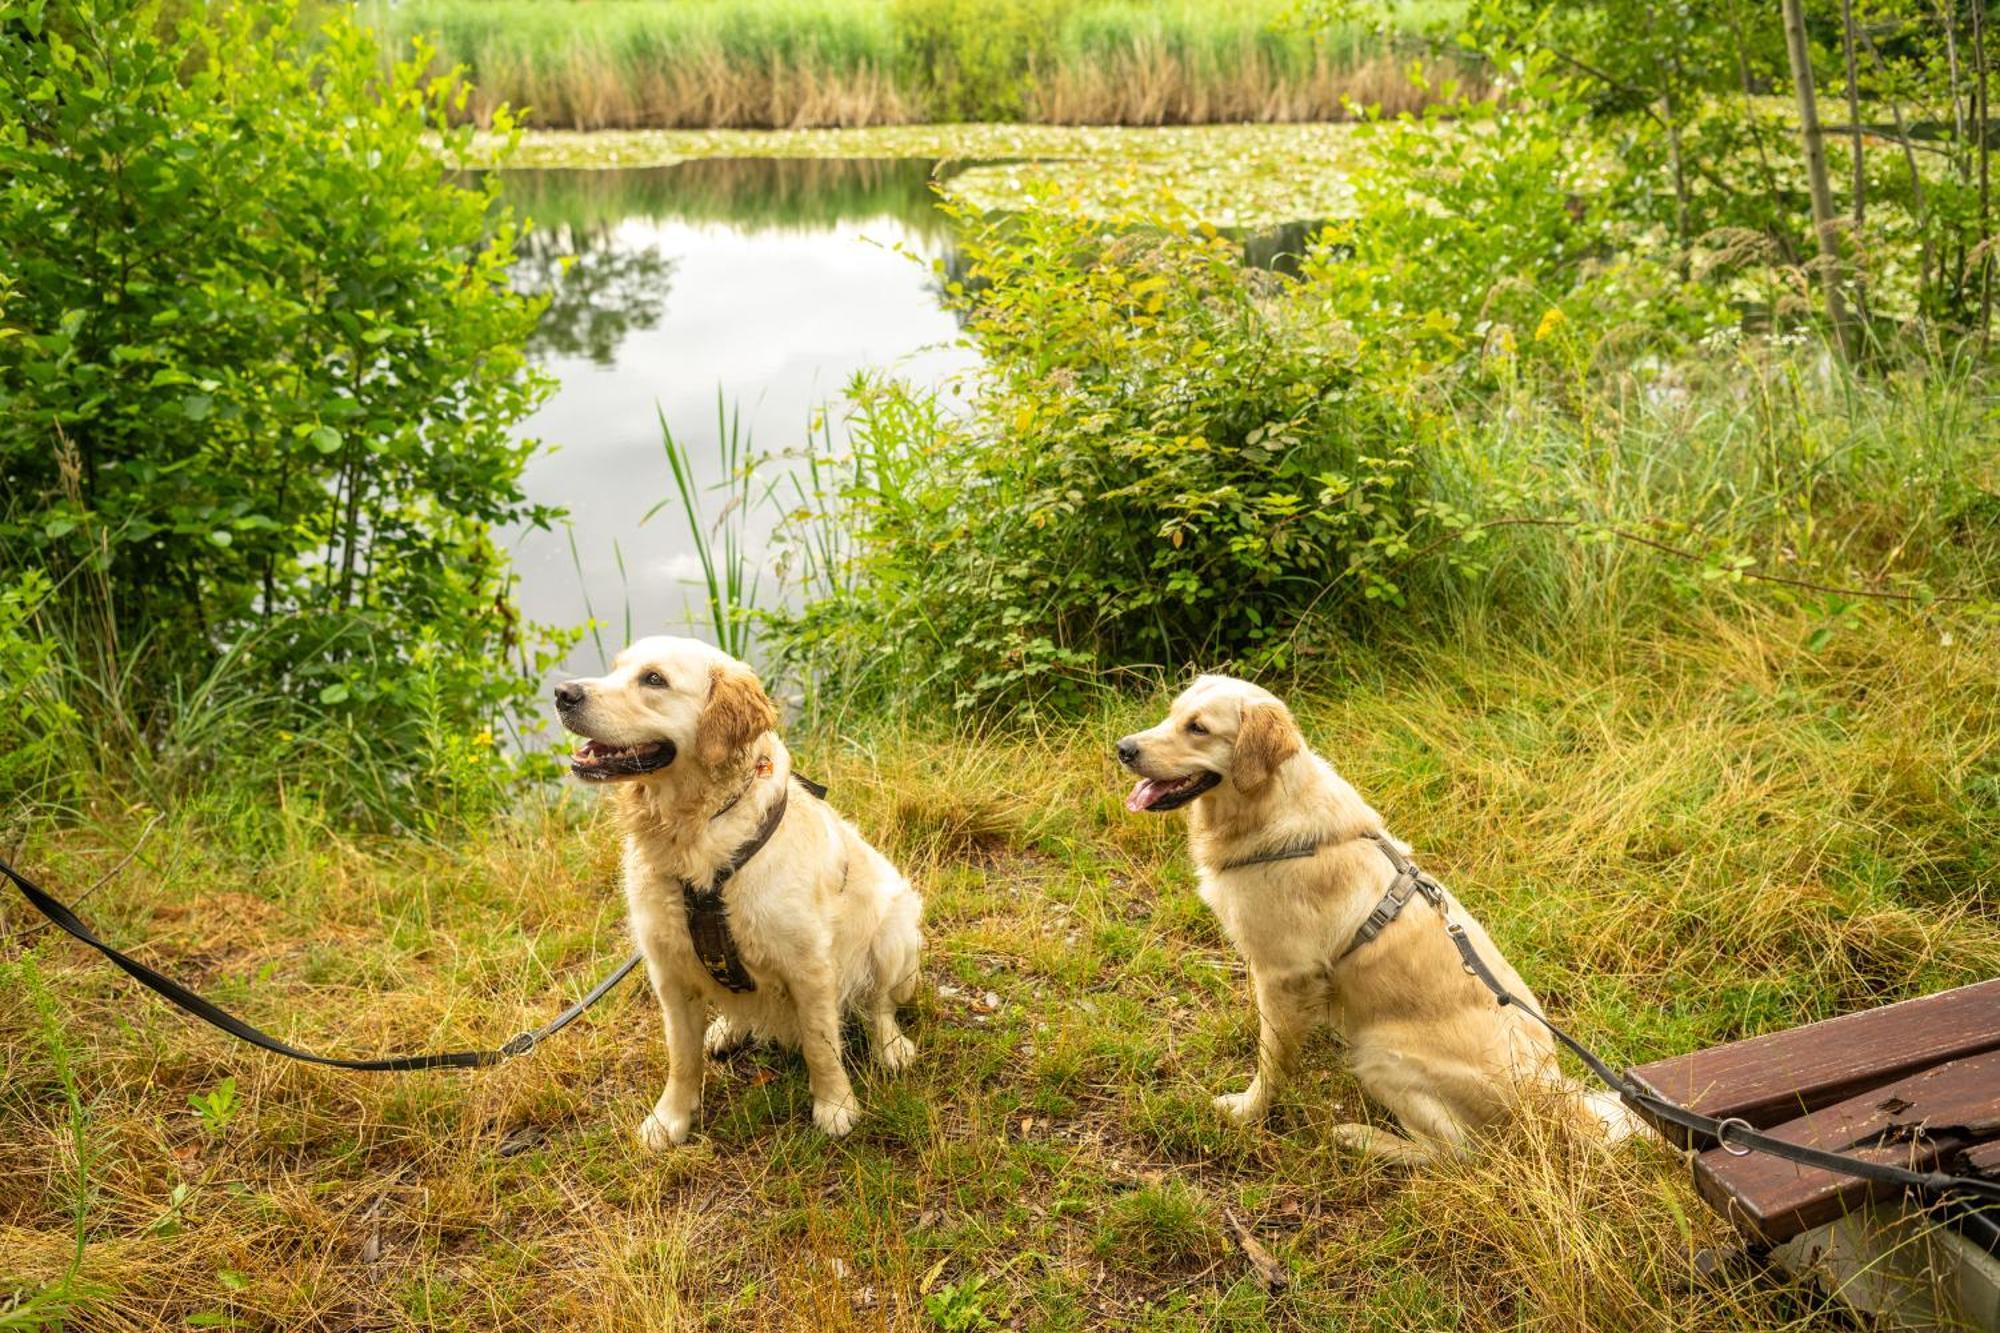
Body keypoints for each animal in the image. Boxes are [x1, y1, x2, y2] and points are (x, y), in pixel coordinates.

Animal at [560, 632, 924, 1144]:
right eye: (615, 669)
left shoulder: (809, 966)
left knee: (879, 1003)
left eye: (654, 679)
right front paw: (671, 1119)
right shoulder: (668, 971)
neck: (693, 834)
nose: (563, 693)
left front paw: (835, 1105)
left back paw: (891, 1046)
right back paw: (726, 1030)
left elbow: (821, 1044)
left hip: (895, 929)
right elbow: (681, 1057)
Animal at [1120, 668, 1632, 1160]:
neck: (1270, 809)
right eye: (1172, 715)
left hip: (1380, 1053)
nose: (1123, 749)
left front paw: (1249, 1110)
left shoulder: (1284, 972)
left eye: (1198, 728)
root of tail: (1552, 1101)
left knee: (1455, 1153)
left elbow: (1272, 1058)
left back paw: (1361, 1137)